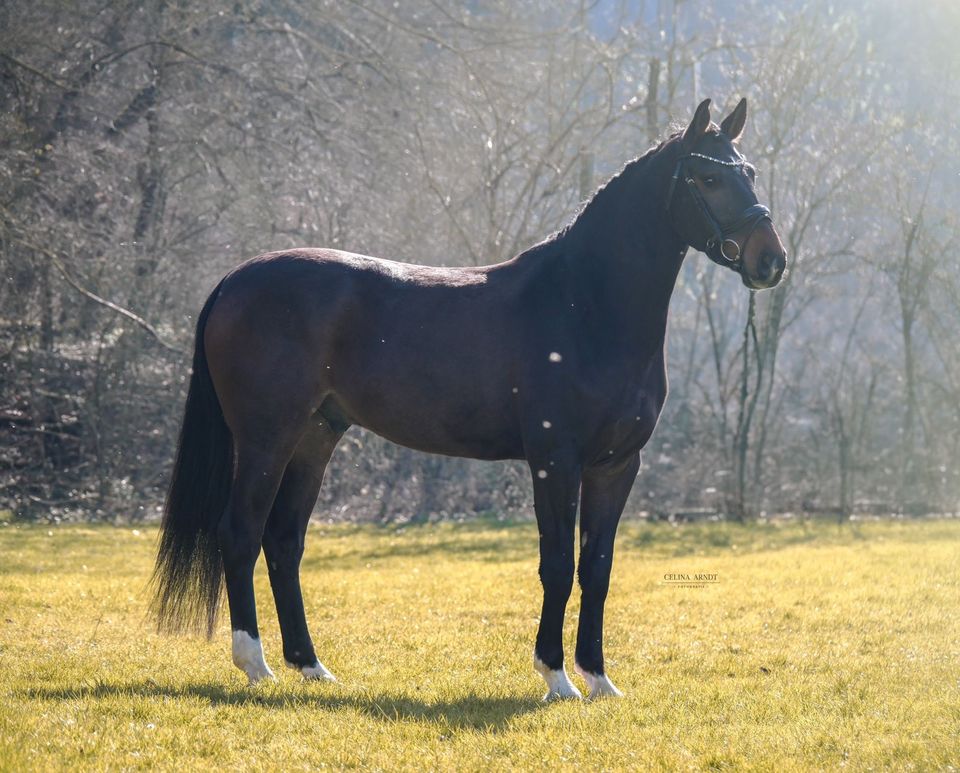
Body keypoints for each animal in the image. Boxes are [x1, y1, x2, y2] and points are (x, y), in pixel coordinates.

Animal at [154, 98, 788, 700]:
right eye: (708, 178)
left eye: (751, 172)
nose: (771, 260)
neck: (585, 304)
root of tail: (235, 280)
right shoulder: (554, 462)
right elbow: (558, 566)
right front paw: (556, 677)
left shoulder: (616, 466)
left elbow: (597, 569)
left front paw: (600, 680)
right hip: (267, 437)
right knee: (240, 533)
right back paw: (255, 666)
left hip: (315, 437)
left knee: (284, 542)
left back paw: (312, 667)